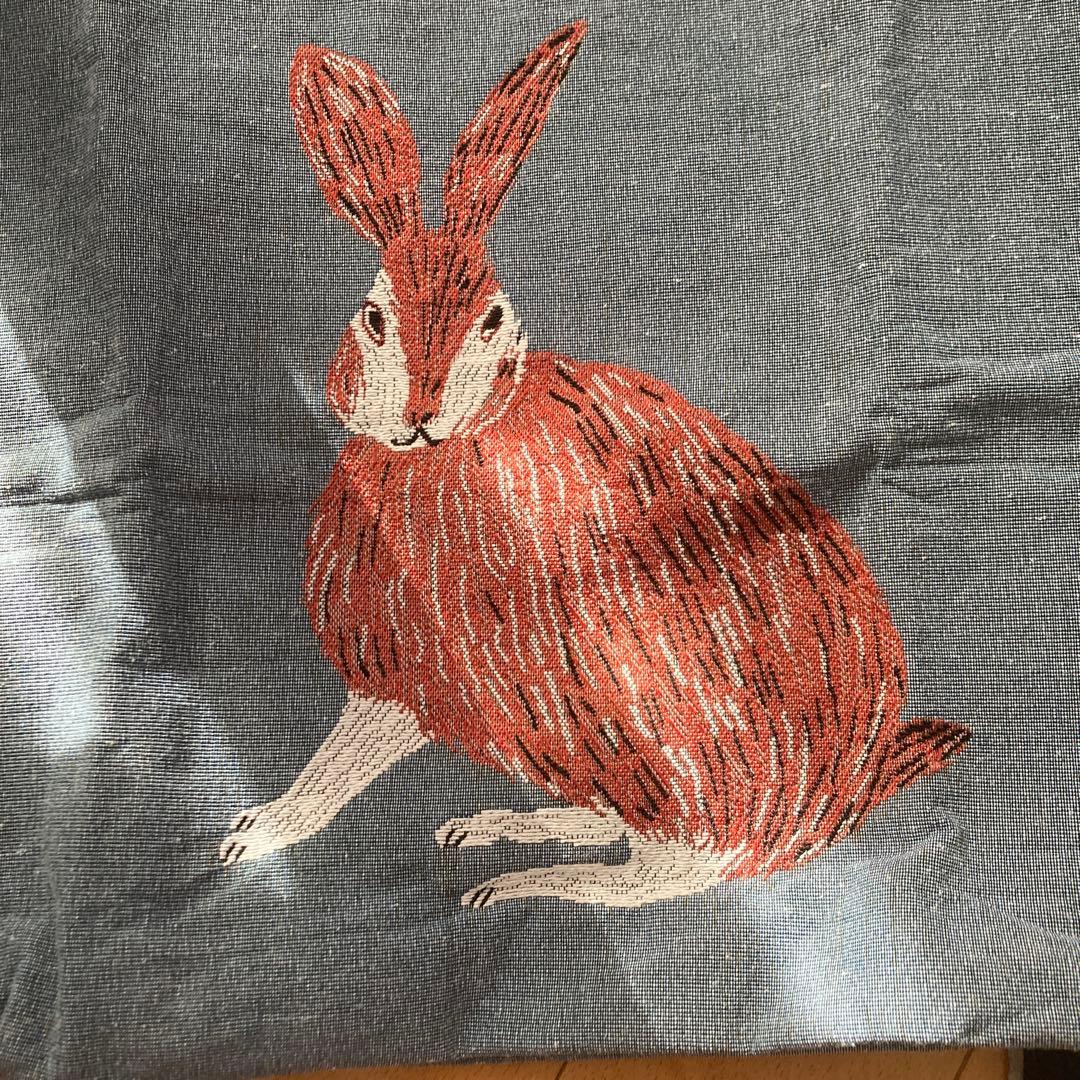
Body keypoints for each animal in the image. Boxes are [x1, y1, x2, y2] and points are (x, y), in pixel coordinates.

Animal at [219, 21, 970, 908]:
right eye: (374, 318)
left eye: (492, 317)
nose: (421, 415)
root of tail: (829, 805)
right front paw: (254, 831)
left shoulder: (420, 685)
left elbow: (338, 764)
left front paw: (255, 834)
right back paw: (493, 826)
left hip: (662, 757)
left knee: (648, 879)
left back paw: (515, 879)